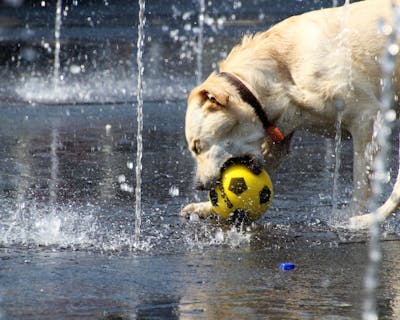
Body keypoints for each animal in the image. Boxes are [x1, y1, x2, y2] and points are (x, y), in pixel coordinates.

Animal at [183, 0, 400, 228]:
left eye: (197, 147)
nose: (198, 185)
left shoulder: (367, 117)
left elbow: (361, 180)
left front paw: (350, 215)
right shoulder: (278, 137)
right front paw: (206, 208)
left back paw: (368, 219)